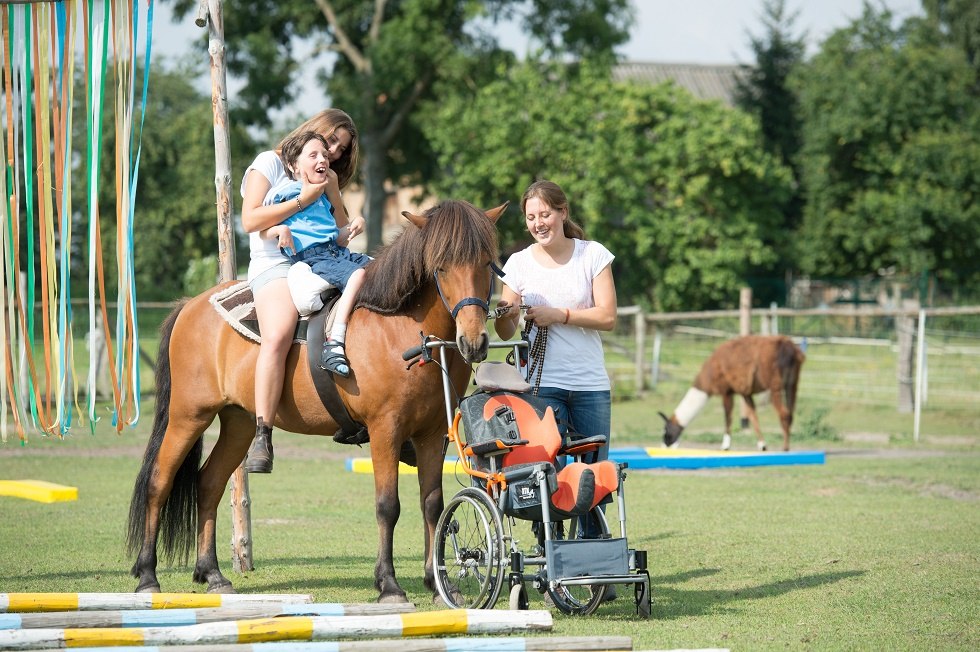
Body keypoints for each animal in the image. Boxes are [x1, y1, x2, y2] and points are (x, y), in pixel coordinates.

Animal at [124, 200, 506, 600]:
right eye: (441, 266)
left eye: (486, 263)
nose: (474, 341)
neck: (398, 324)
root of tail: (189, 306)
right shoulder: (385, 430)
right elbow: (388, 506)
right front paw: (388, 583)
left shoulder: (432, 434)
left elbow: (431, 504)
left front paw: (436, 582)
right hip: (189, 417)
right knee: (158, 482)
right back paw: (148, 575)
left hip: (238, 422)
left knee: (209, 483)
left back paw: (212, 573)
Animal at [660, 334, 804, 450]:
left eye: (666, 430)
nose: (664, 444)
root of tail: (789, 348)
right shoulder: (745, 392)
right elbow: (753, 415)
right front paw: (762, 445)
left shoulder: (727, 390)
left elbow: (728, 416)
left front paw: (725, 446)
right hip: (792, 383)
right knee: (790, 412)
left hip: (775, 384)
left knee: (784, 414)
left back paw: (785, 447)